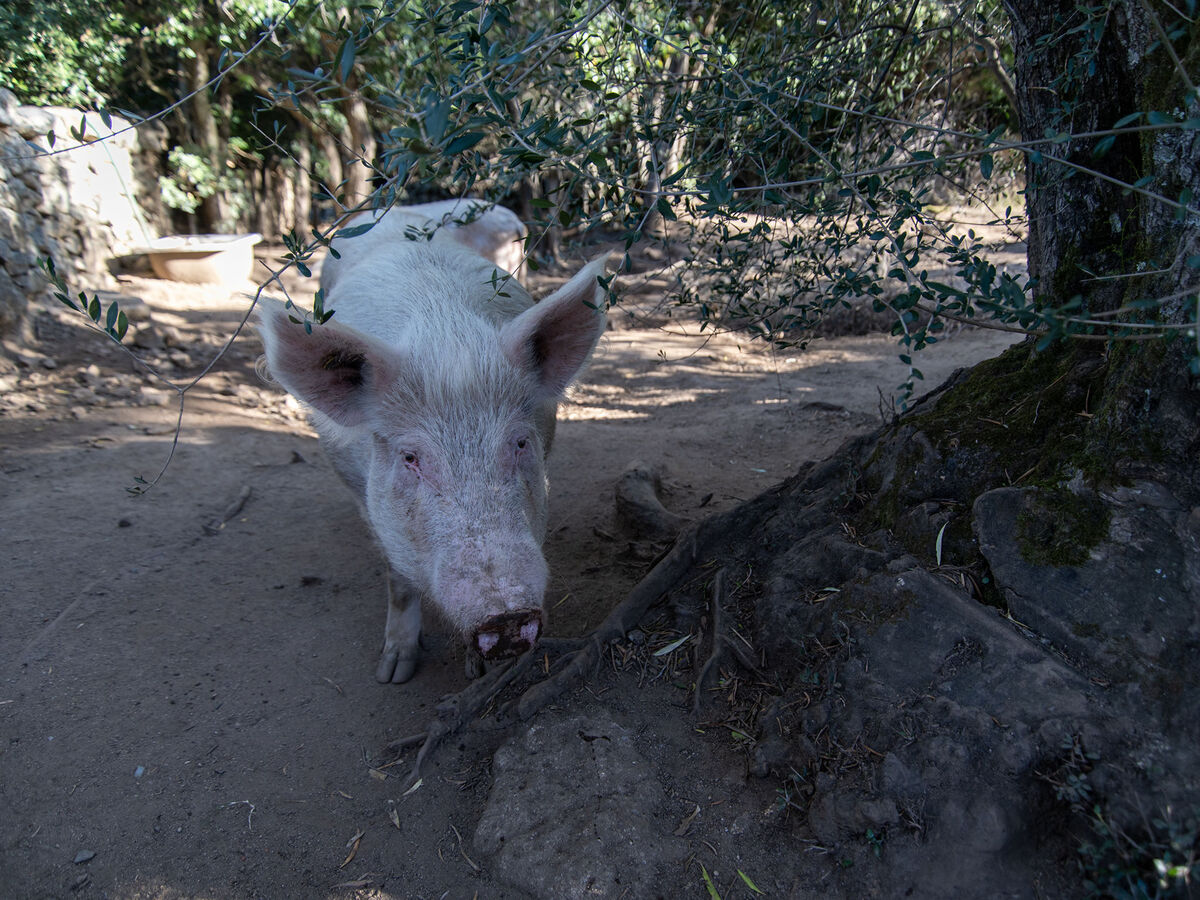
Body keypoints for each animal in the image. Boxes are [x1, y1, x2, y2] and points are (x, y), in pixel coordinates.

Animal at [258, 199, 608, 683]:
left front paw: (476, 672)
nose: (507, 618)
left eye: (520, 443)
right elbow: (397, 576)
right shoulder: (365, 495)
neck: (446, 344)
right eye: (410, 457)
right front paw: (393, 673)